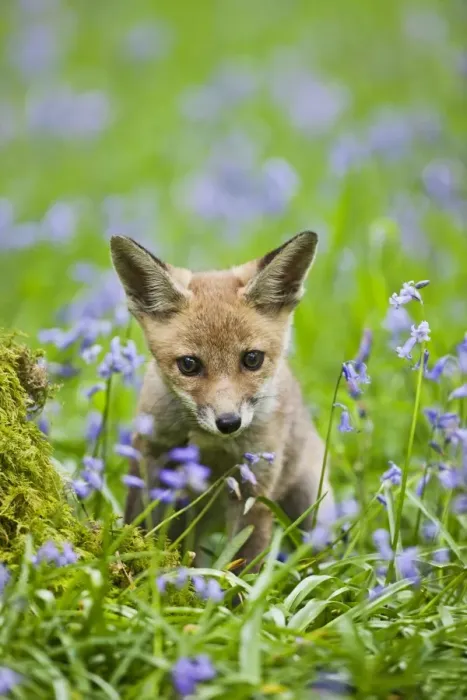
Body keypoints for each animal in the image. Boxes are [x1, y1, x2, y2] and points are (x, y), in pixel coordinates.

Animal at [110, 230, 334, 568]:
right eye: (189, 365)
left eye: (252, 359)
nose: (228, 423)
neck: (211, 447)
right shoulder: (152, 454)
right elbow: (141, 525)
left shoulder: (253, 486)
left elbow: (243, 564)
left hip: (311, 506)